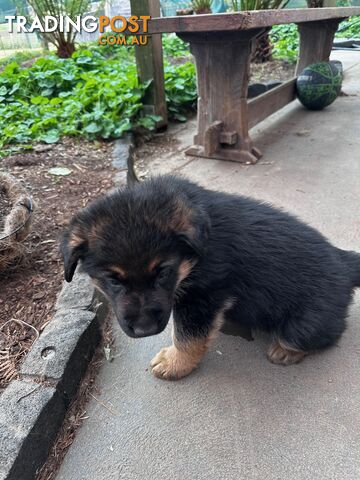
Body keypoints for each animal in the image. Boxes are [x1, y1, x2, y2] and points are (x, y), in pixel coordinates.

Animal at [61, 174, 360, 380]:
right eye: (113, 280)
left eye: (164, 272)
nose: (145, 329)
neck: (195, 252)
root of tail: (344, 262)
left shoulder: (202, 296)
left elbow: (187, 337)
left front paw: (174, 363)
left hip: (306, 321)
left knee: (326, 334)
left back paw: (287, 349)